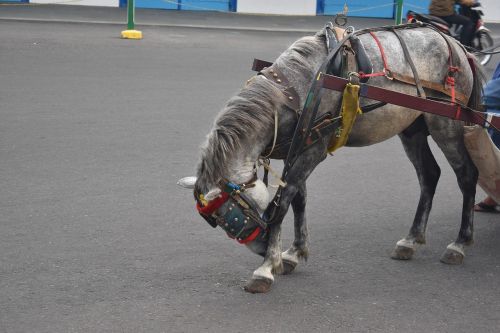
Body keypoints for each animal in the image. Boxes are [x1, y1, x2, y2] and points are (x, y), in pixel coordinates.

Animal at [188, 24, 484, 292]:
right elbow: (299, 199)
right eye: (226, 224)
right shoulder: (300, 148)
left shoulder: (313, 151)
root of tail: (457, 46)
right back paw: (411, 239)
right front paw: (293, 253)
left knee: (466, 174)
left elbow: (281, 204)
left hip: (446, 123)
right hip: (413, 127)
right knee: (429, 174)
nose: (261, 248)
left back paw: (460, 243)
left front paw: (266, 268)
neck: (295, 91)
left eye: (234, 216)